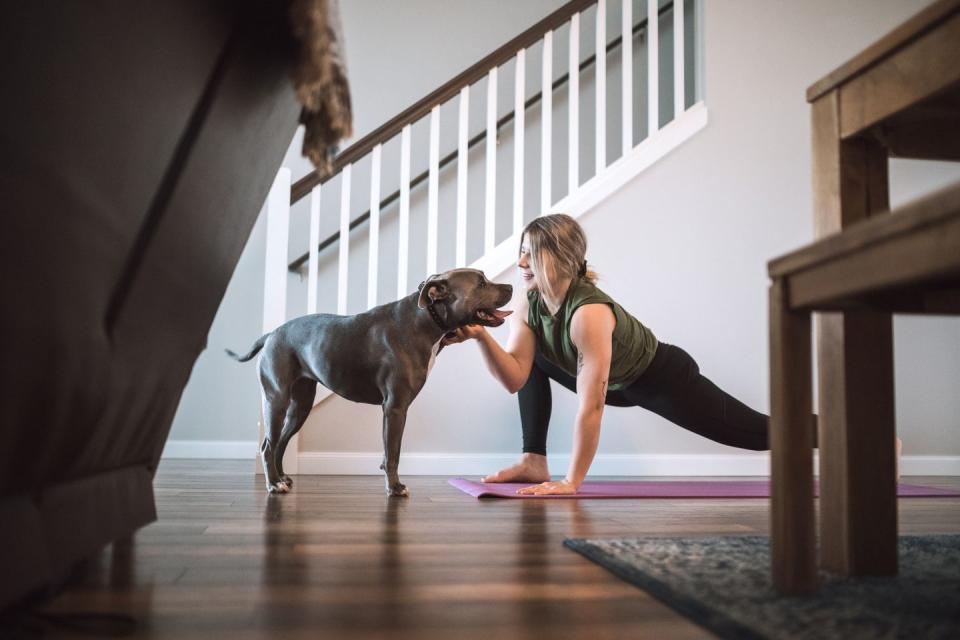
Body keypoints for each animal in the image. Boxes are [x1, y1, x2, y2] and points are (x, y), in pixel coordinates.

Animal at [229, 268, 512, 498]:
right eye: (481, 283)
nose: (510, 287)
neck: (426, 320)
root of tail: (271, 334)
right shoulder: (395, 408)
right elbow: (393, 453)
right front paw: (395, 488)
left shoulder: (394, 410)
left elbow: (389, 453)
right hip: (276, 400)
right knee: (268, 446)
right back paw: (273, 484)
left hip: (300, 406)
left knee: (280, 443)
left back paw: (281, 478)